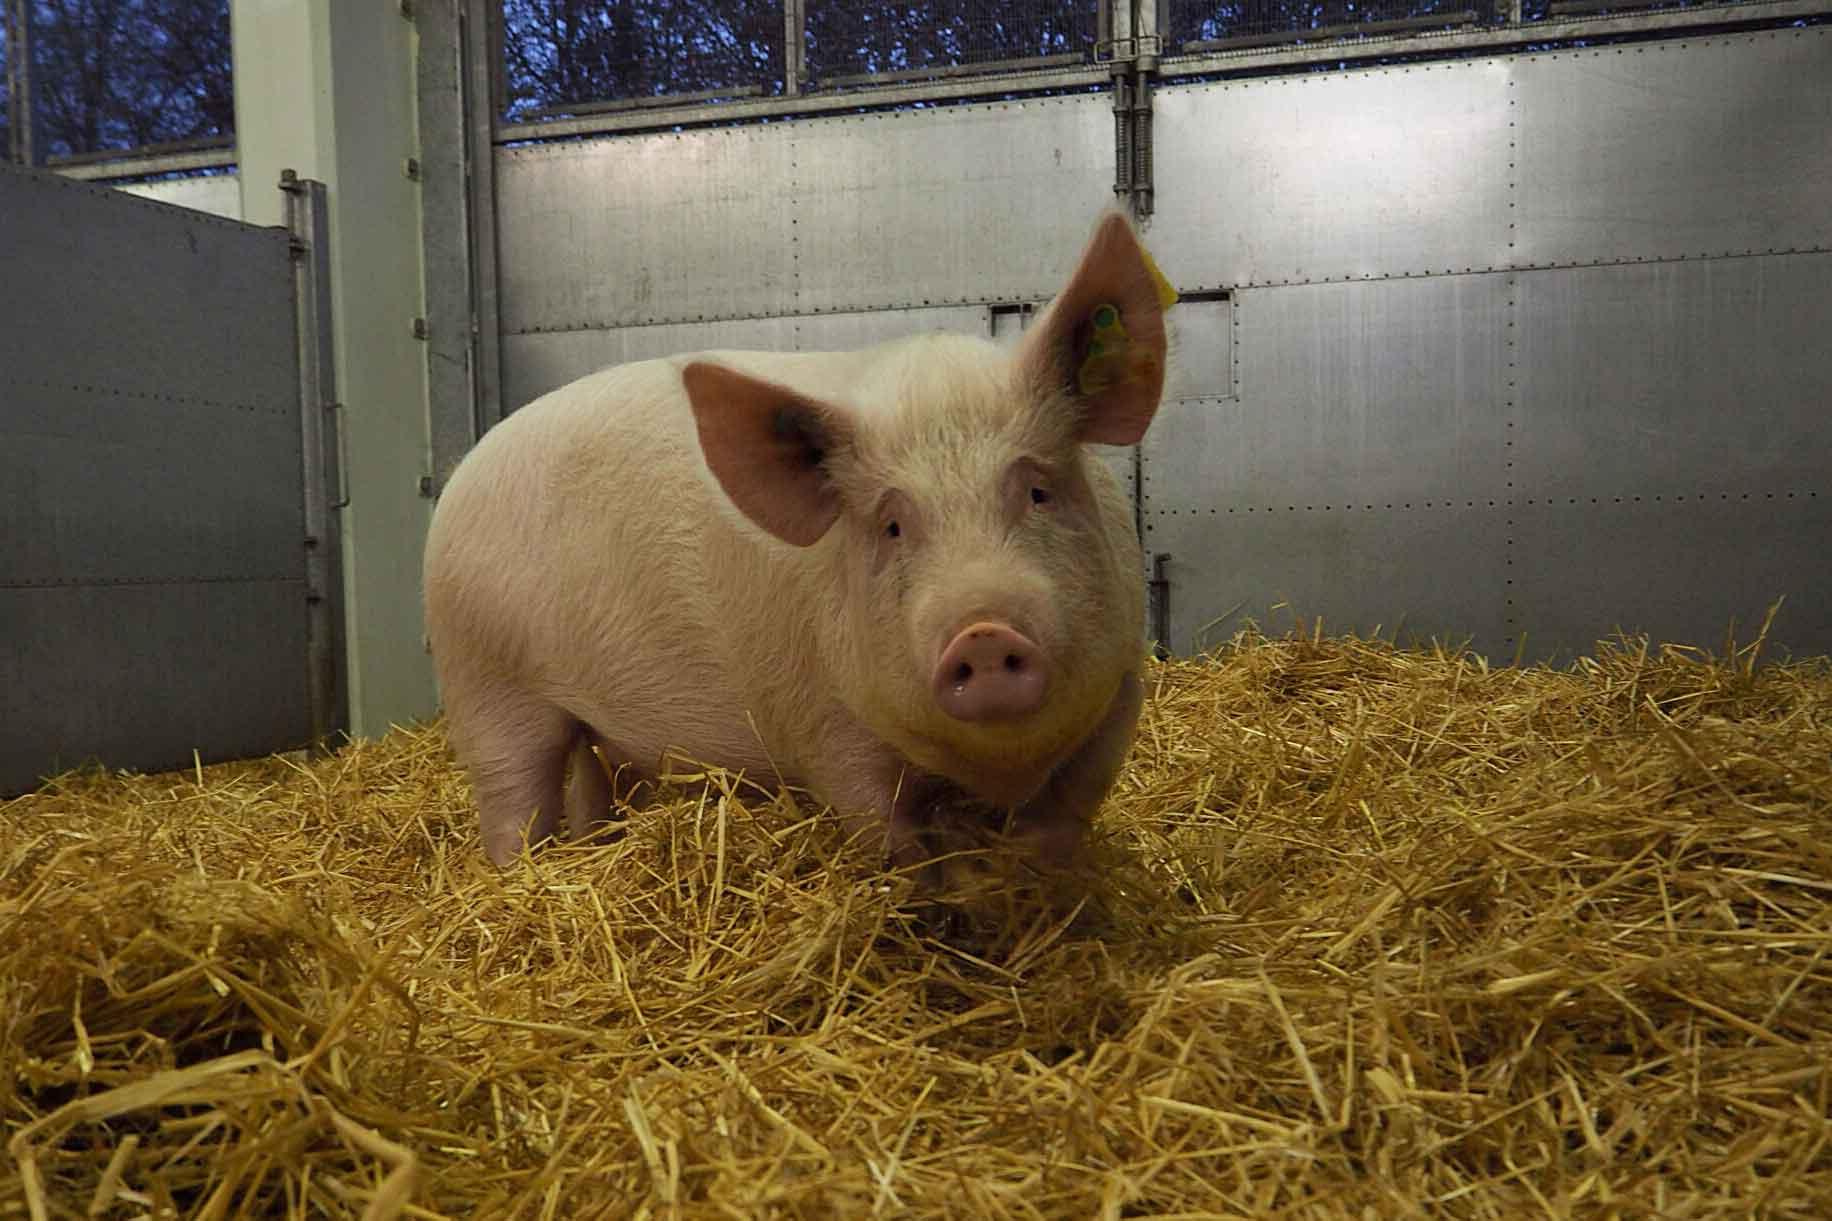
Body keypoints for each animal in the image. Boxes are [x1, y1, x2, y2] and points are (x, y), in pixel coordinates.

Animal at [421, 211, 1172, 876]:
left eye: (1038, 490)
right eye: (891, 525)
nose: (984, 632)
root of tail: (458, 479)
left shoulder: (1122, 687)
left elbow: (1074, 802)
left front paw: (1036, 871)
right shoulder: (826, 722)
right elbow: (880, 823)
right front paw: (934, 885)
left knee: (588, 784)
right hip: (484, 682)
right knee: (513, 802)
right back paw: (524, 875)